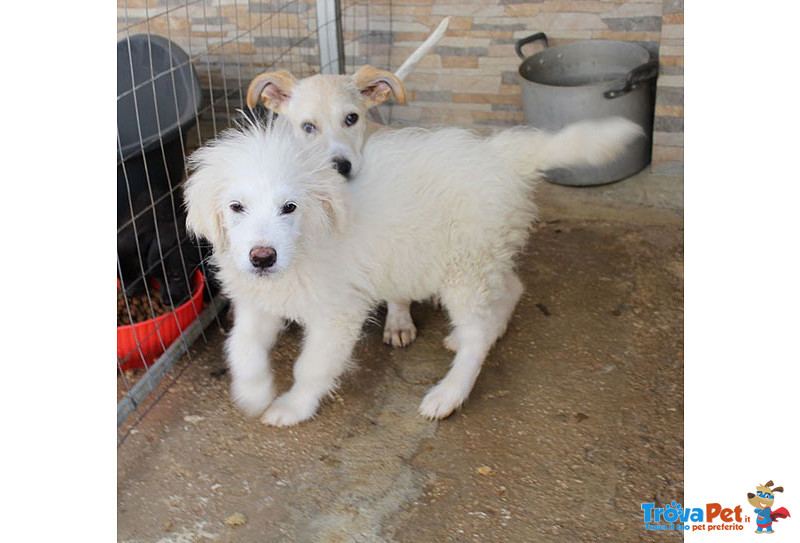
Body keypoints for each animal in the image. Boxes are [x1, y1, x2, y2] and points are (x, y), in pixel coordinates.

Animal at [184, 117, 640, 428]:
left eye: (289, 207)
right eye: (236, 207)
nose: (262, 258)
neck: (305, 246)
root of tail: (499, 155)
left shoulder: (337, 312)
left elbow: (312, 365)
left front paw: (292, 407)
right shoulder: (257, 301)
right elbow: (241, 347)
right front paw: (253, 391)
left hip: (463, 266)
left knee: (479, 333)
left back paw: (450, 392)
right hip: (478, 257)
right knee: (511, 287)